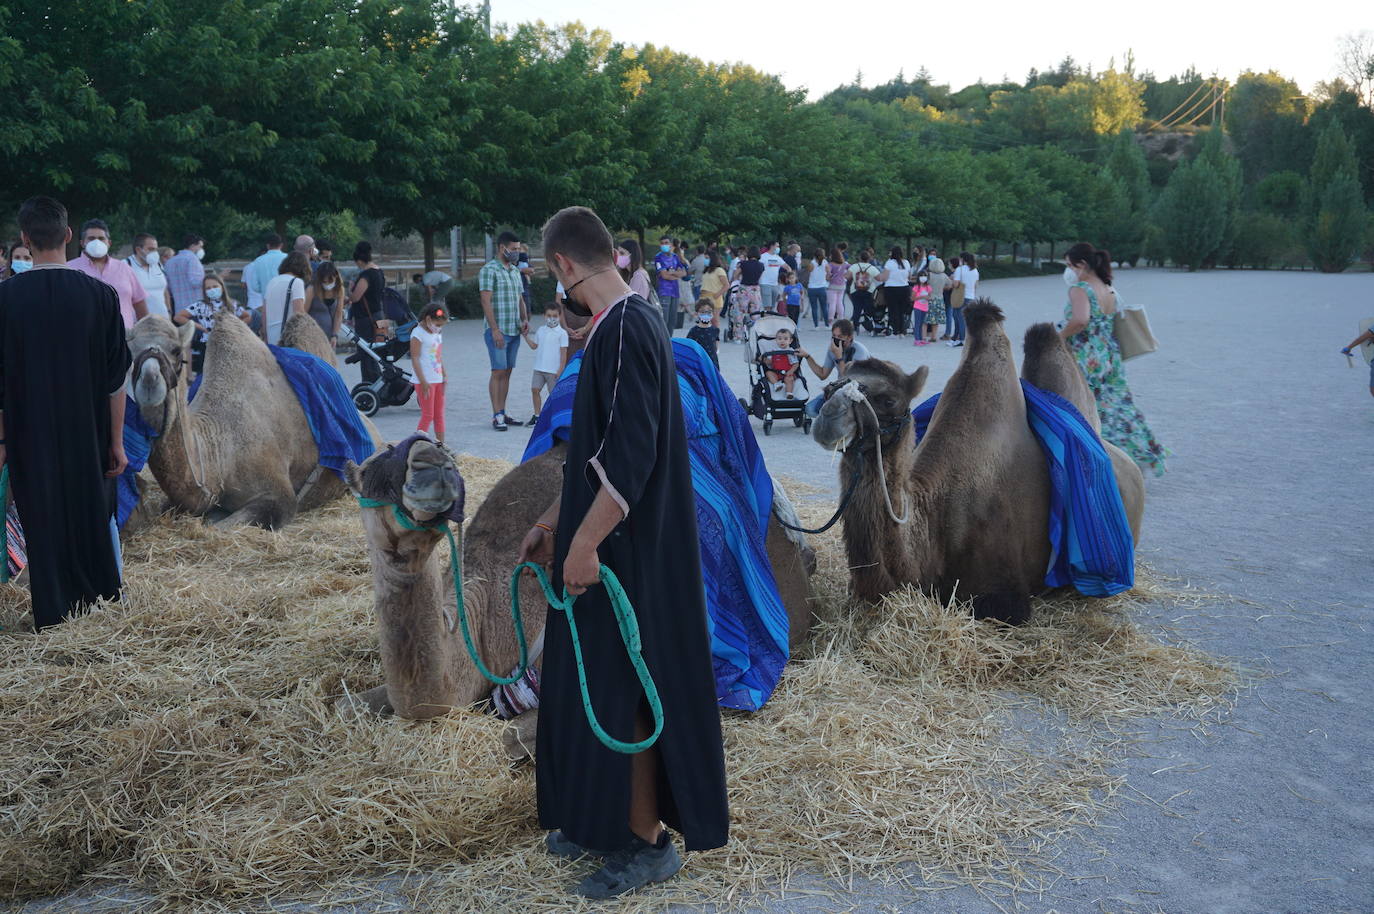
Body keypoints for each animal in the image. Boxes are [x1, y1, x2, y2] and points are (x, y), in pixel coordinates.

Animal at [128, 307, 379, 527]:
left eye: (177, 351)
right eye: (130, 352)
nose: (149, 381)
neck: (218, 451)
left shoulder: (278, 496)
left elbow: (219, 527)